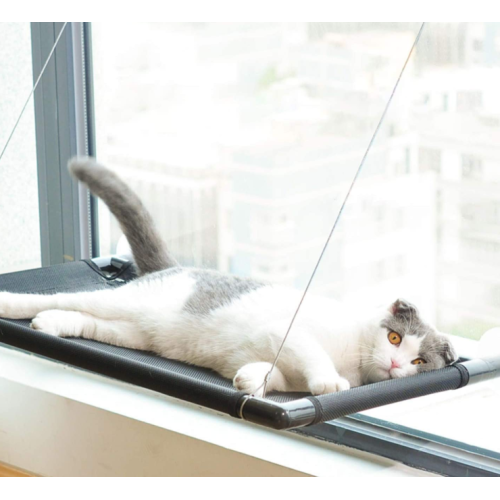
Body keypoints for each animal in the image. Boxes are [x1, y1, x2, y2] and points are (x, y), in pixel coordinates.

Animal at [0, 158, 458, 396]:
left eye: (419, 361)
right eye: (394, 337)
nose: (396, 363)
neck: (357, 361)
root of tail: (175, 267)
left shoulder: (285, 364)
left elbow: (277, 377)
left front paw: (252, 377)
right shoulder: (290, 331)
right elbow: (312, 353)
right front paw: (329, 380)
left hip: (134, 334)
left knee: (85, 320)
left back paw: (51, 324)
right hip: (128, 301)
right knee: (62, 296)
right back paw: (14, 303)